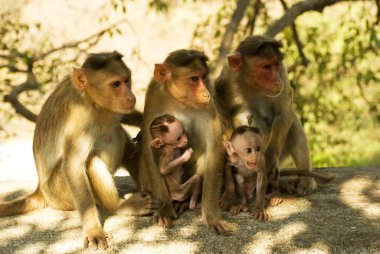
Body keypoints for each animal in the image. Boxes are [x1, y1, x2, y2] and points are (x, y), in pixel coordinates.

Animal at [0, 51, 160, 250]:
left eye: (126, 80)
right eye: (116, 84)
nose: (131, 97)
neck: (93, 102)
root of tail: (40, 191)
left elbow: (125, 116)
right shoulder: (80, 119)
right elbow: (74, 166)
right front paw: (93, 229)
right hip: (60, 194)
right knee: (90, 161)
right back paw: (119, 206)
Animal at [137, 49, 235, 234]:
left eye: (203, 77)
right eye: (194, 79)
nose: (206, 94)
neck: (178, 102)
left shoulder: (209, 105)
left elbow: (215, 146)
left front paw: (211, 216)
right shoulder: (154, 95)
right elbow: (147, 146)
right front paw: (164, 208)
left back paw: (185, 202)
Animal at [217, 34, 336, 195]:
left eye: (277, 64)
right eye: (267, 66)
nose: (277, 81)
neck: (253, 86)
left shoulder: (283, 72)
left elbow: (283, 112)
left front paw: (270, 158)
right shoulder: (225, 80)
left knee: (293, 124)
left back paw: (304, 180)